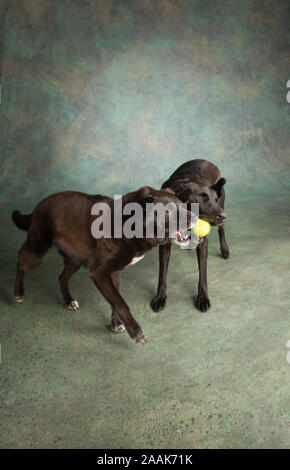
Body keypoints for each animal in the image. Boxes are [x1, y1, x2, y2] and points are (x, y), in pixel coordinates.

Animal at [11, 185, 193, 344]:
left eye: (181, 204)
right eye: (168, 211)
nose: (195, 217)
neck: (128, 224)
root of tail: (40, 203)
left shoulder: (114, 272)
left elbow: (116, 300)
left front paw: (116, 325)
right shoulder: (98, 272)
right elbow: (120, 302)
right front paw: (135, 331)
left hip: (75, 260)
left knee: (61, 277)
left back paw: (68, 300)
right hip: (36, 250)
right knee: (20, 262)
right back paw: (18, 293)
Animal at [152, 160, 229, 314]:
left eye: (215, 199)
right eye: (202, 196)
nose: (223, 216)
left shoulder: (203, 243)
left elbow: (203, 273)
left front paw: (203, 298)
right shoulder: (165, 244)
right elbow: (162, 274)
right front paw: (160, 297)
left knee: (221, 230)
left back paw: (224, 249)